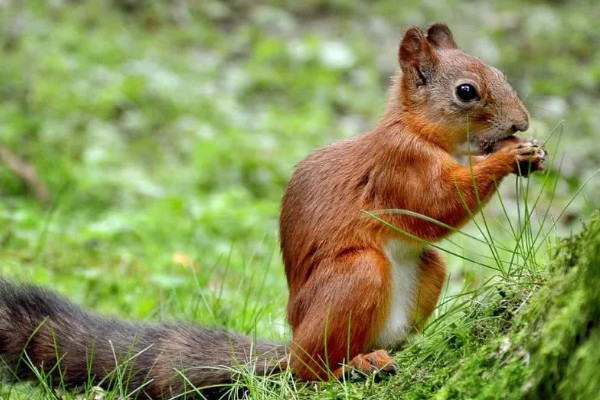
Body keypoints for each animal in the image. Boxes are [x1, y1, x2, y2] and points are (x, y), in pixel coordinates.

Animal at [0, 24, 544, 396]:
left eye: (501, 74)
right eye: (466, 91)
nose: (521, 122)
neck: (418, 131)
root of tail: (290, 343)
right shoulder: (398, 167)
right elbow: (436, 207)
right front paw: (510, 156)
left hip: (424, 273)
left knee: (423, 272)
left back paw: (393, 350)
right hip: (354, 277)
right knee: (308, 372)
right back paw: (351, 367)